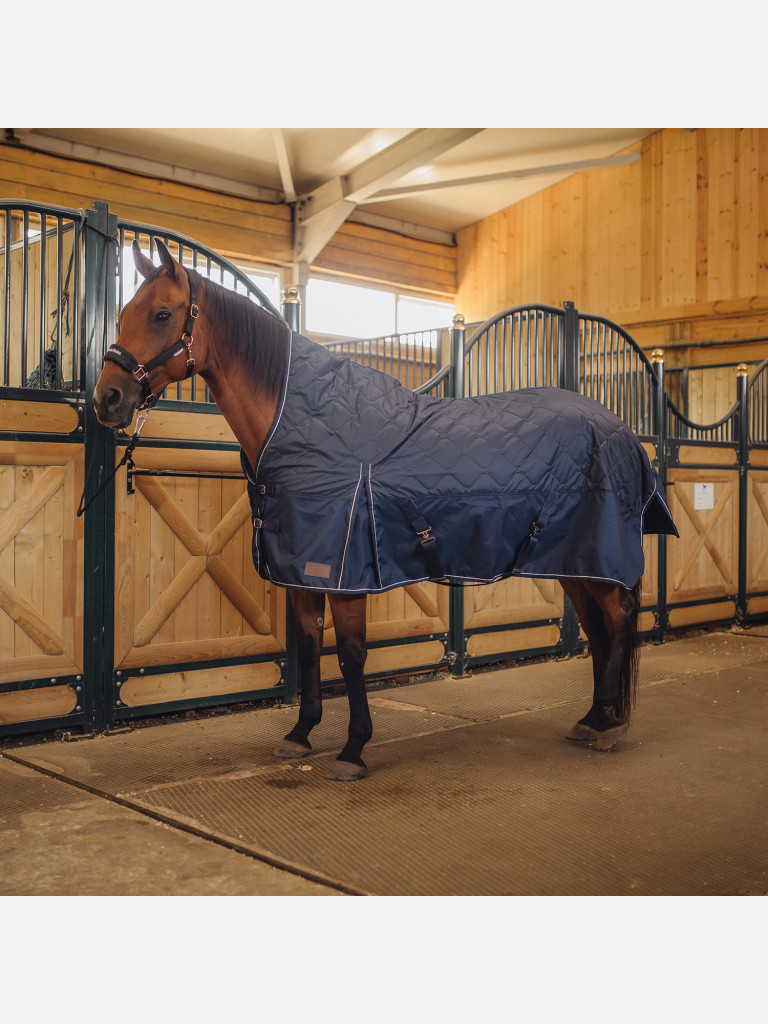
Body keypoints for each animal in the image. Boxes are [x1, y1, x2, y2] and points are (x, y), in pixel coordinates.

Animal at [93, 240, 677, 781]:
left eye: (162, 315)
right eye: (122, 313)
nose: (108, 399)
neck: (304, 423)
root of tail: (621, 430)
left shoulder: (346, 571)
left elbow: (351, 655)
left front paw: (354, 748)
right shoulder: (302, 571)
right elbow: (310, 646)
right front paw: (301, 734)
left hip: (596, 556)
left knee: (618, 619)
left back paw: (610, 727)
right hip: (574, 559)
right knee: (599, 629)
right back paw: (592, 719)